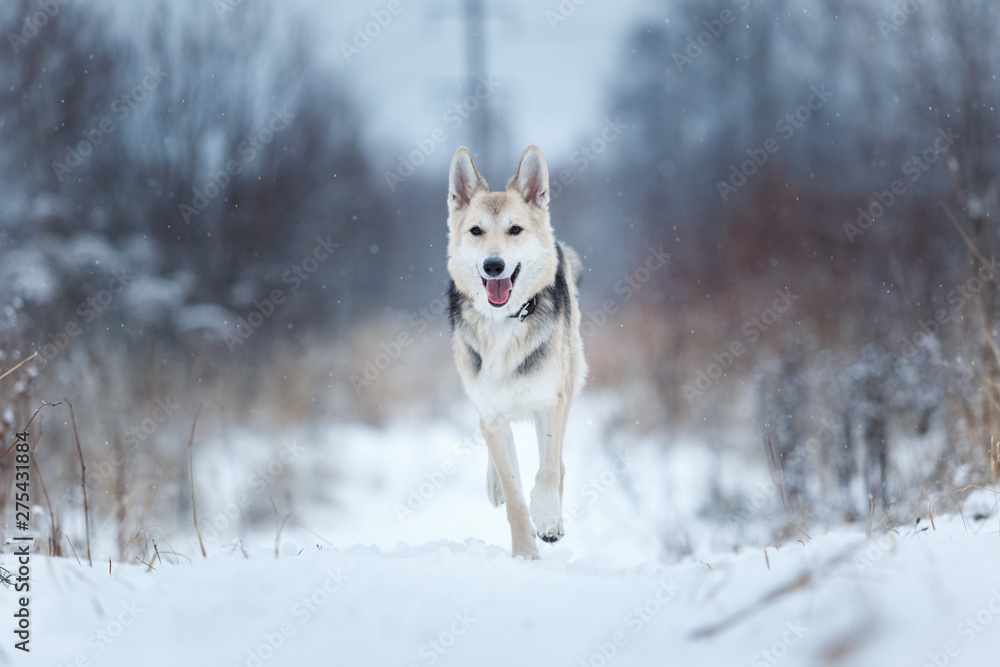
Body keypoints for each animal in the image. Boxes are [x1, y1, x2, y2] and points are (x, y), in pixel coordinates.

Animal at [448, 145, 584, 560]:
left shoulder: (551, 401)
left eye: (515, 230)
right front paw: (525, 554)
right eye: (476, 231)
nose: (494, 265)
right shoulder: (491, 415)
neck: (505, 321)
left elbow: (548, 470)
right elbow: (514, 490)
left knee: (556, 462)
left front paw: (548, 517)